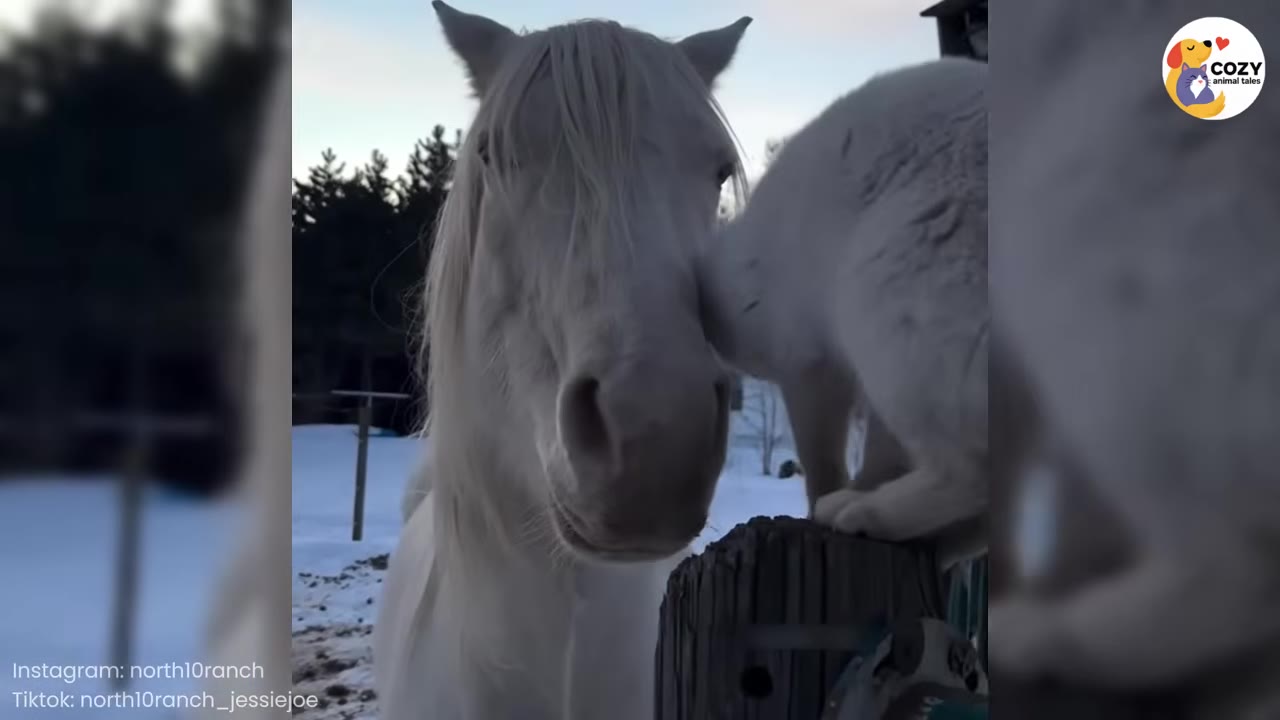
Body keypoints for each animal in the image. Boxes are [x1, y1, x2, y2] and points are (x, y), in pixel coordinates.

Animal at [697, 58, 989, 569]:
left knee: (970, 471)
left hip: (886, 297)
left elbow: (822, 459)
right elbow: (880, 454)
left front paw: (829, 501)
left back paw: (861, 513)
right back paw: (928, 541)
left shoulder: (809, 361)